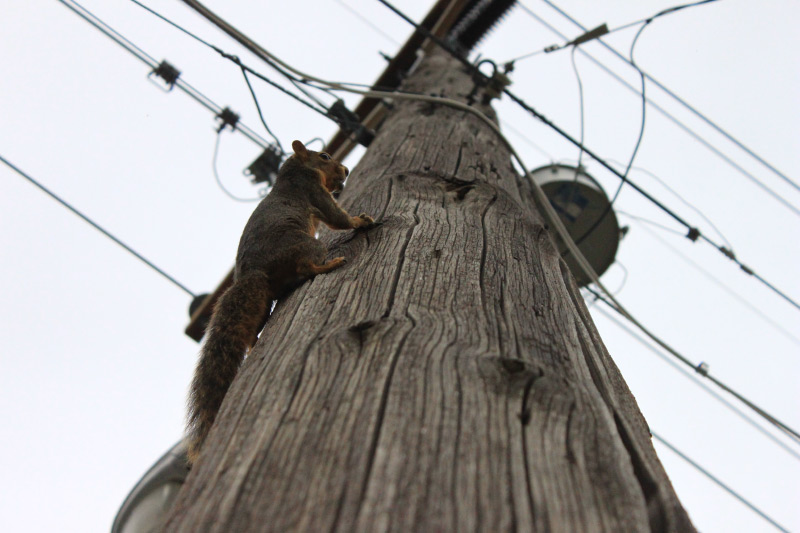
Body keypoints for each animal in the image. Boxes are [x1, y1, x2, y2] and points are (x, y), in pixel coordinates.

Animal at [188, 139, 376, 464]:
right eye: (324, 156)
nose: (346, 170)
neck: (292, 171)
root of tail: (252, 274)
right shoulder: (312, 190)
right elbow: (336, 217)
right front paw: (360, 220)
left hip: (262, 302)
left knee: (253, 327)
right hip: (307, 244)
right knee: (305, 267)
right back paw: (328, 265)